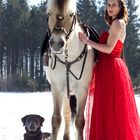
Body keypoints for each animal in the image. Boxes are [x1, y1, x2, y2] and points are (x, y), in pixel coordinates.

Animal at [41, 0, 99, 139]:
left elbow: (80, 120)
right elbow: (56, 119)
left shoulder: (83, 89)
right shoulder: (56, 88)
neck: (69, 58)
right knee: (66, 114)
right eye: (49, 13)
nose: (57, 43)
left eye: (71, 14)